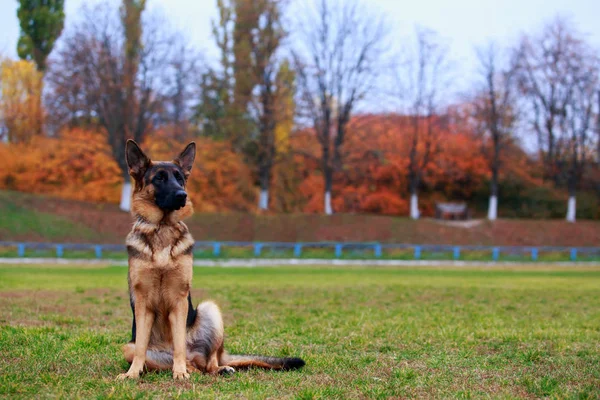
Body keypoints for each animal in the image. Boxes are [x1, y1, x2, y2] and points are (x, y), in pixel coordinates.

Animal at [117, 141, 304, 382]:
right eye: (159, 178)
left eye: (179, 178)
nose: (182, 195)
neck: (162, 228)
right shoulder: (142, 302)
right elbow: (141, 346)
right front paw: (132, 373)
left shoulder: (179, 299)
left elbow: (179, 343)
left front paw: (179, 373)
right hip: (128, 348)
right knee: (189, 364)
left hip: (209, 310)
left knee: (208, 362)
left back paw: (213, 368)